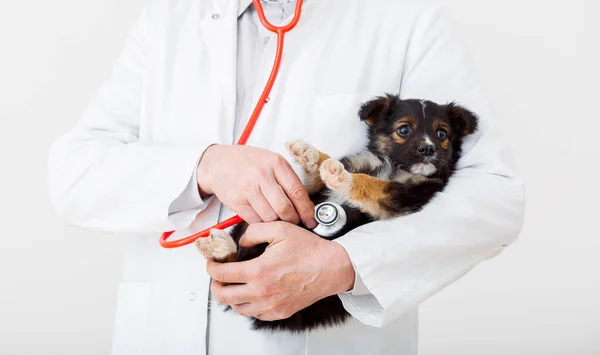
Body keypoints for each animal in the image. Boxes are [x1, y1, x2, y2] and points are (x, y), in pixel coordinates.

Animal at [199, 94, 480, 334]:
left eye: (442, 133)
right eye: (404, 130)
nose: (428, 149)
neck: (392, 165)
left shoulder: (404, 196)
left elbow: (372, 185)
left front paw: (344, 178)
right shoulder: (323, 186)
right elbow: (317, 175)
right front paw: (310, 154)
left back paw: (220, 248)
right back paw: (221, 247)